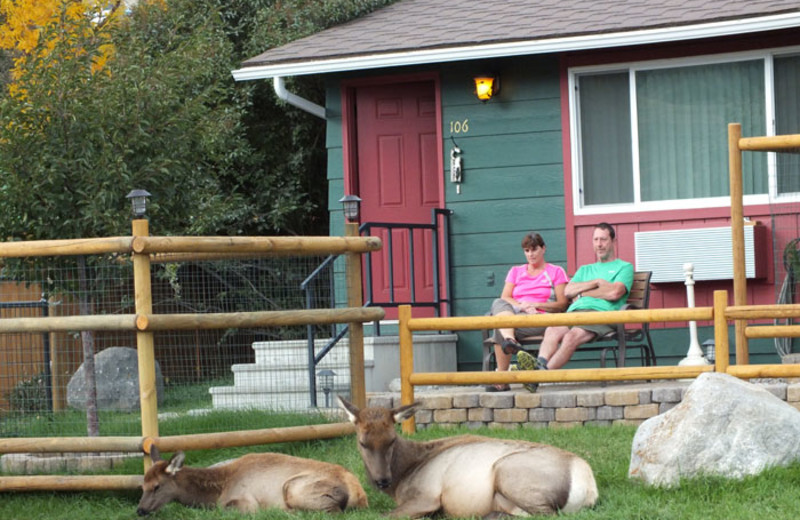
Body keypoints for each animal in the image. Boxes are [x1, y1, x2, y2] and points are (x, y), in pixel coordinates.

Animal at [137, 446, 368, 516]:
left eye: (156, 486)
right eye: (142, 485)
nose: (140, 510)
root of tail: (360, 494)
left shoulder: (247, 502)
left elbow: (226, 509)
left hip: (293, 488)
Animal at [340, 398, 596, 516]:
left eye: (392, 439)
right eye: (362, 442)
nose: (382, 480)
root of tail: (589, 488)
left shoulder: (427, 496)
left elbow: (383, 515)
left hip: (507, 471)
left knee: (546, 514)